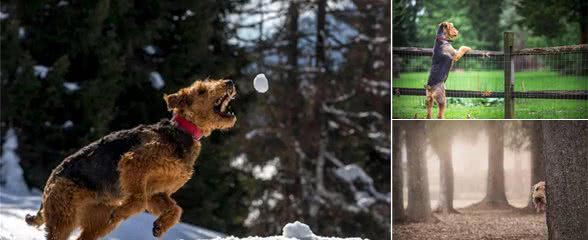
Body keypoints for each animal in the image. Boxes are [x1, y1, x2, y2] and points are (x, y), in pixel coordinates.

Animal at [24, 79, 237, 240]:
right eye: (201, 90)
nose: (229, 82)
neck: (181, 132)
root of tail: (50, 180)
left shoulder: (157, 192)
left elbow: (176, 209)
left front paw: (159, 227)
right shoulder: (134, 163)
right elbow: (139, 199)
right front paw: (125, 212)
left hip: (98, 223)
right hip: (64, 218)